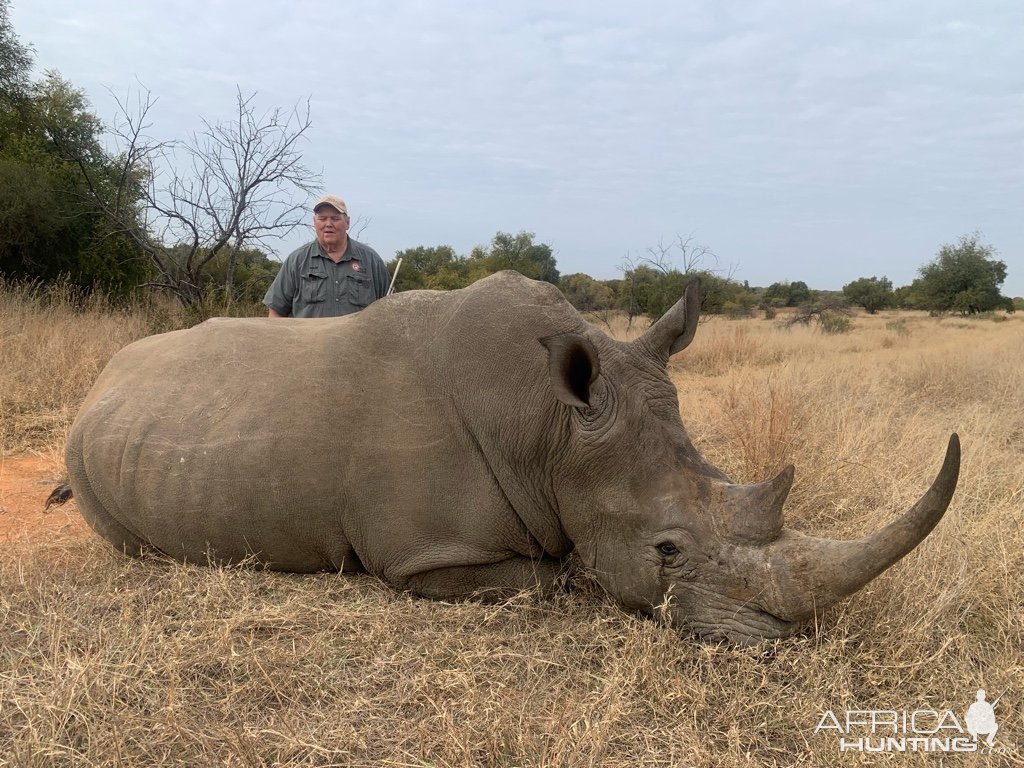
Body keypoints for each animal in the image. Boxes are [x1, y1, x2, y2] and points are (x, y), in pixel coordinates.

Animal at [54, 274, 958, 647]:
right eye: (667, 551)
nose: (782, 636)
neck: (552, 430)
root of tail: (103, 380)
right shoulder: (425, 557)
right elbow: (558, 576)